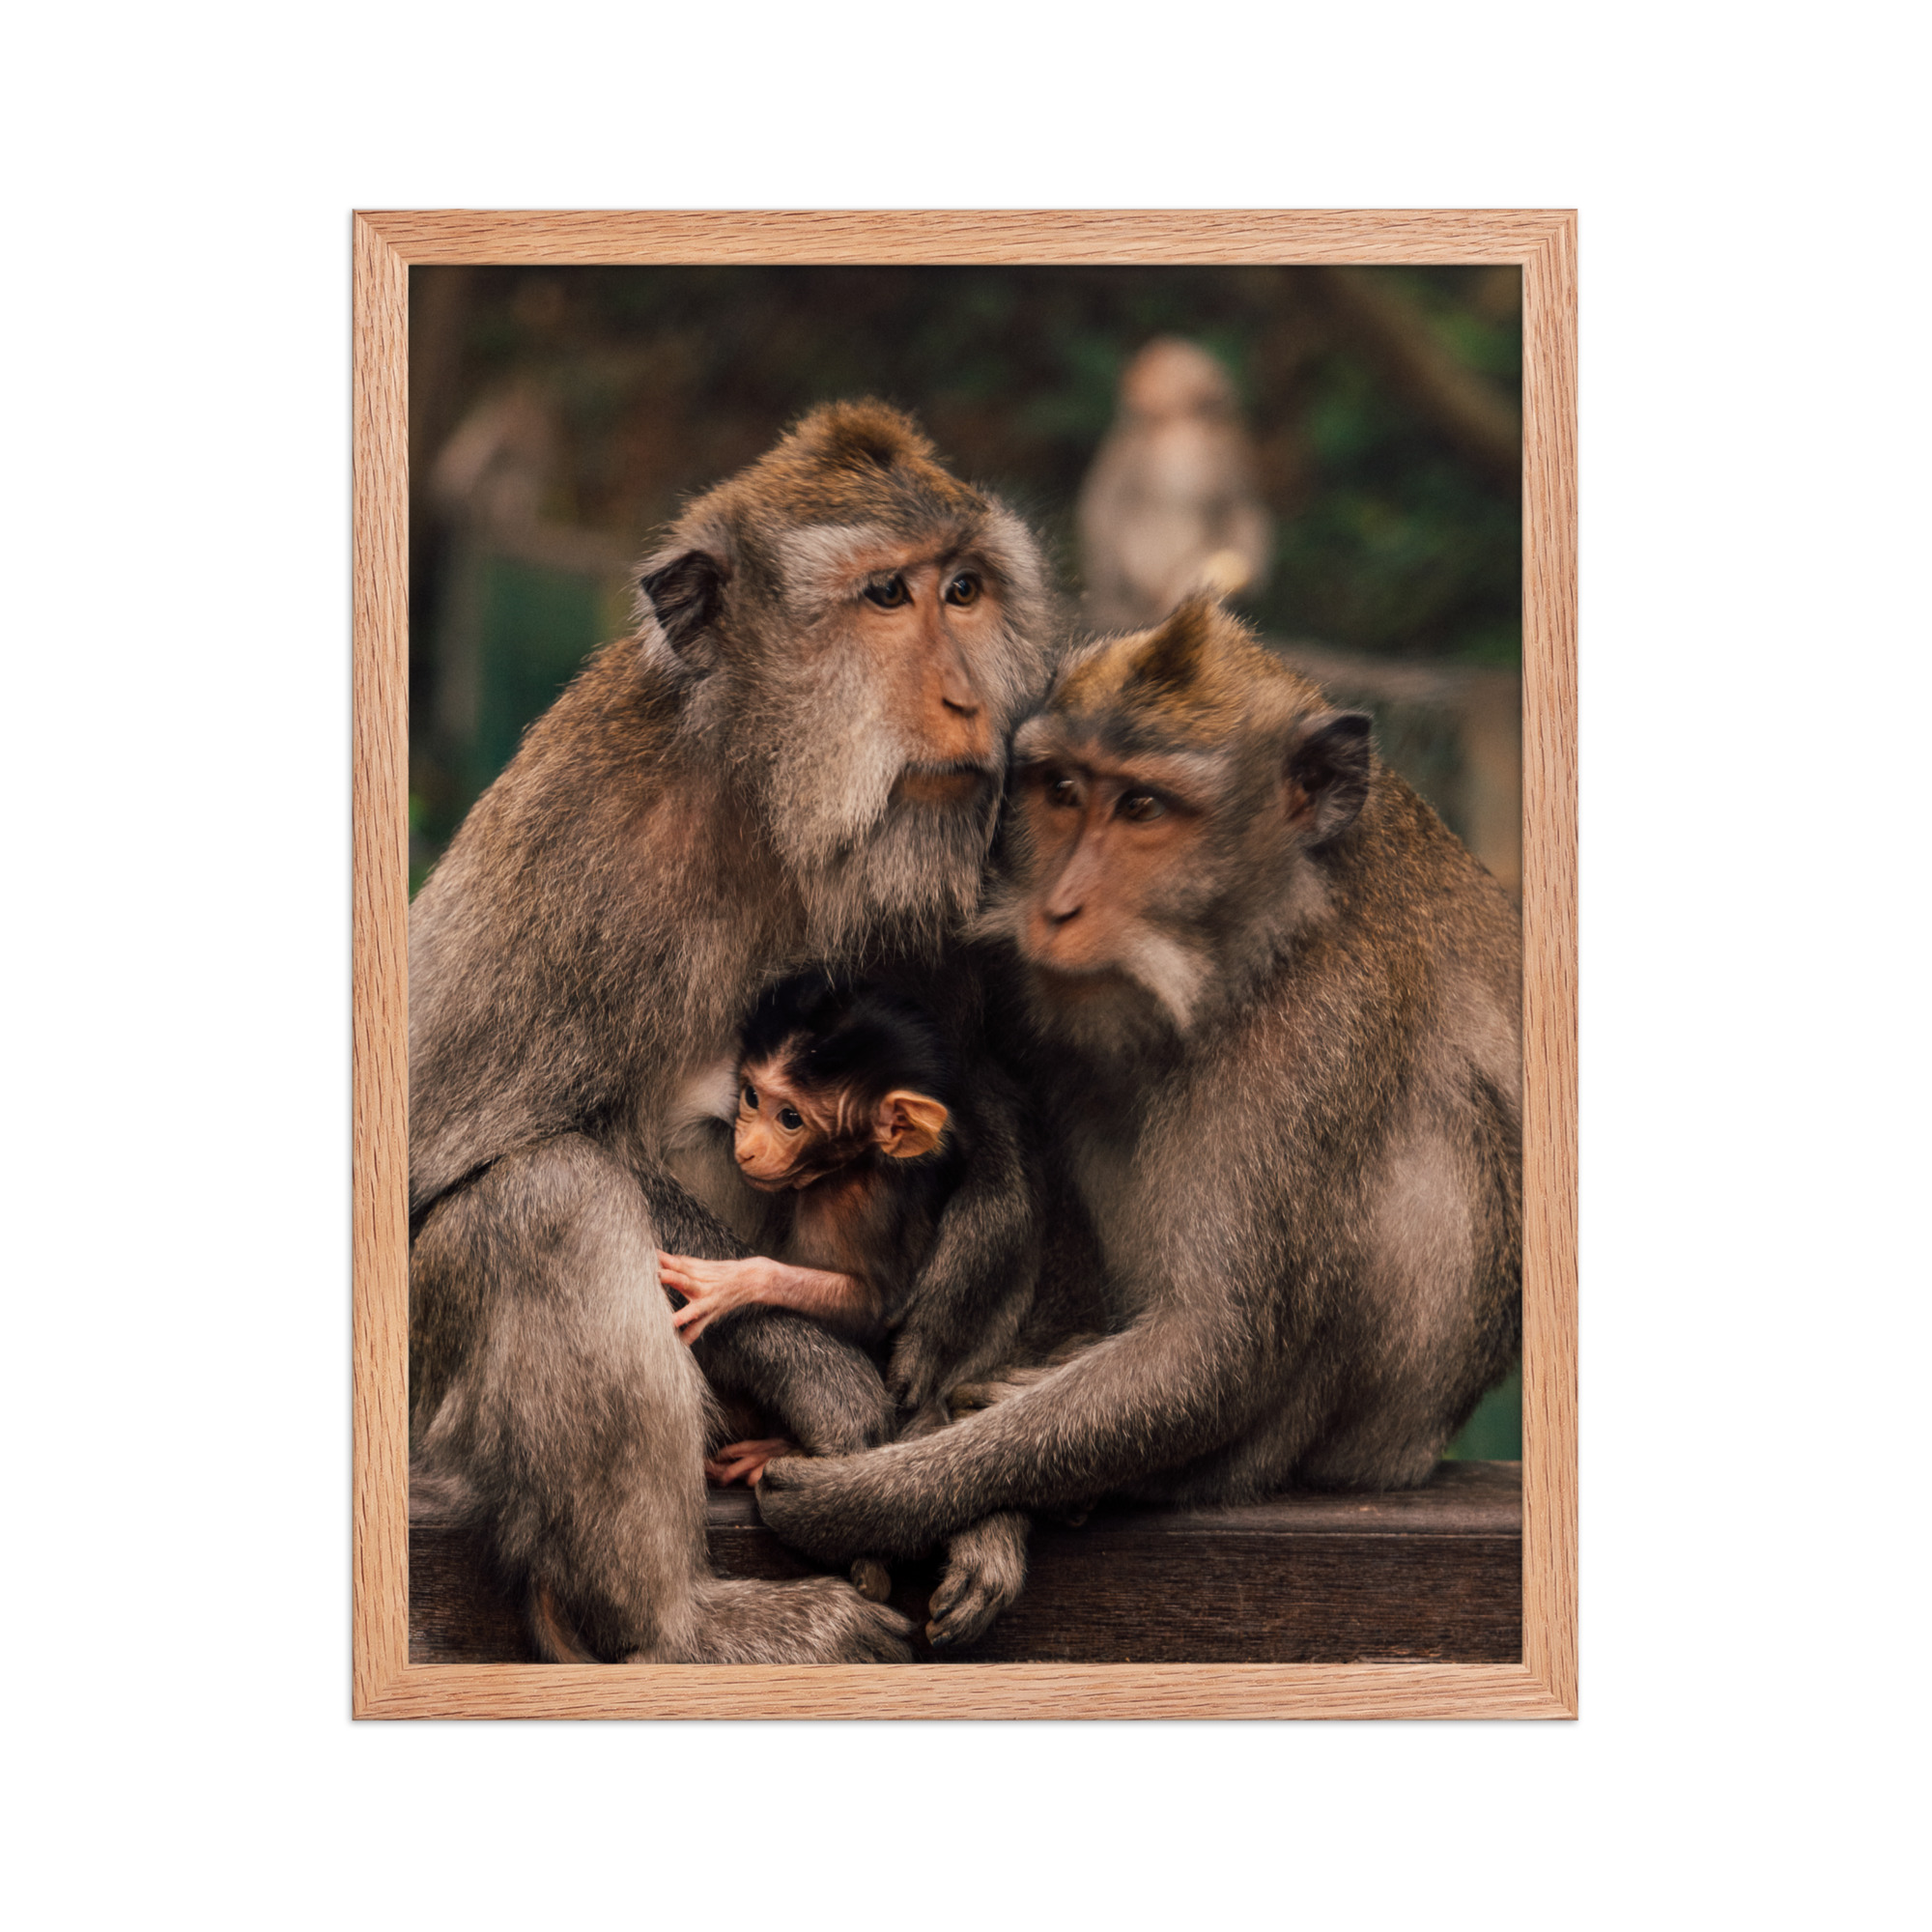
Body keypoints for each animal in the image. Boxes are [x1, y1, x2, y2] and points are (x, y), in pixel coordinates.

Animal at [407, 401, 1058, 1663]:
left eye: (963, 588)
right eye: (884, 597)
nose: (970, 702)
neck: (769, 802)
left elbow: (974, 1089)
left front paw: (988, 1238)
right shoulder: (582, 840)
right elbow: (443, 1167)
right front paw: (830, 1383)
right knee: (544, 1199)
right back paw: (676, 1626)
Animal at [754, 594, 1522, 1573]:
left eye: (1144, 807)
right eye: (1063, 791)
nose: (1057, 908)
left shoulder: (1320, 1019)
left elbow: (1213, 1348)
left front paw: (873, 1499)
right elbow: (967, 1084)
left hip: (1377, 1432)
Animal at [1076, 339, 1273, 630]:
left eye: (1145, 394)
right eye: (1131, 395)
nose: (1129, 409)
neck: (1179, 428)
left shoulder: (1228, 444)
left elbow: (1239, 508)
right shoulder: (1132, 443)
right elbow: (1106, 506)